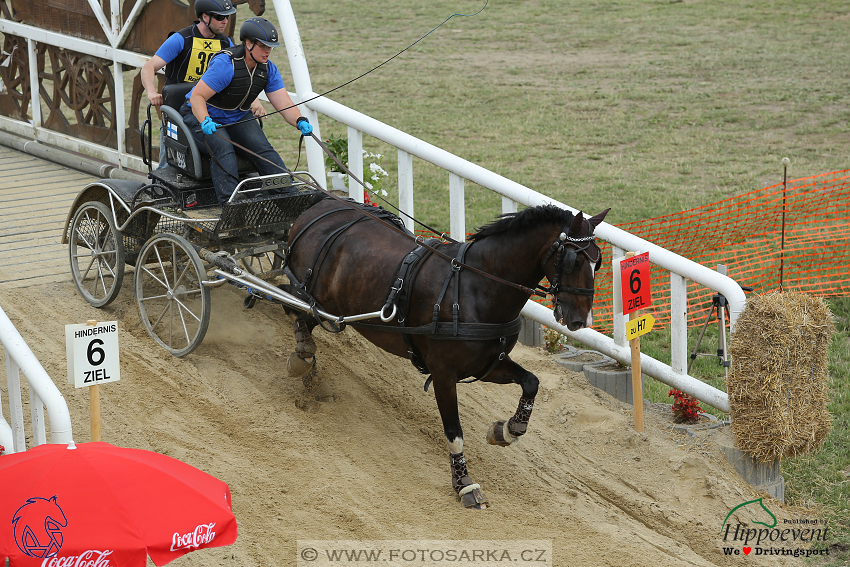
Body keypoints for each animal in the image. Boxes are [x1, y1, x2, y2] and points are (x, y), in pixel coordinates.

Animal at [282, 200, 608, 510]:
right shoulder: (443, 373)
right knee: (297, 312)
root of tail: (318, 208)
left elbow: (531, 382)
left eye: (598, 262)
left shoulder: (488, 364)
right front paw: (463, 483)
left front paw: (507, 430)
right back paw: (303, 357)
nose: (581, 321)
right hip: (317, 299)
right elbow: (454, 432)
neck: (477, 287)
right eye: (573, 260)